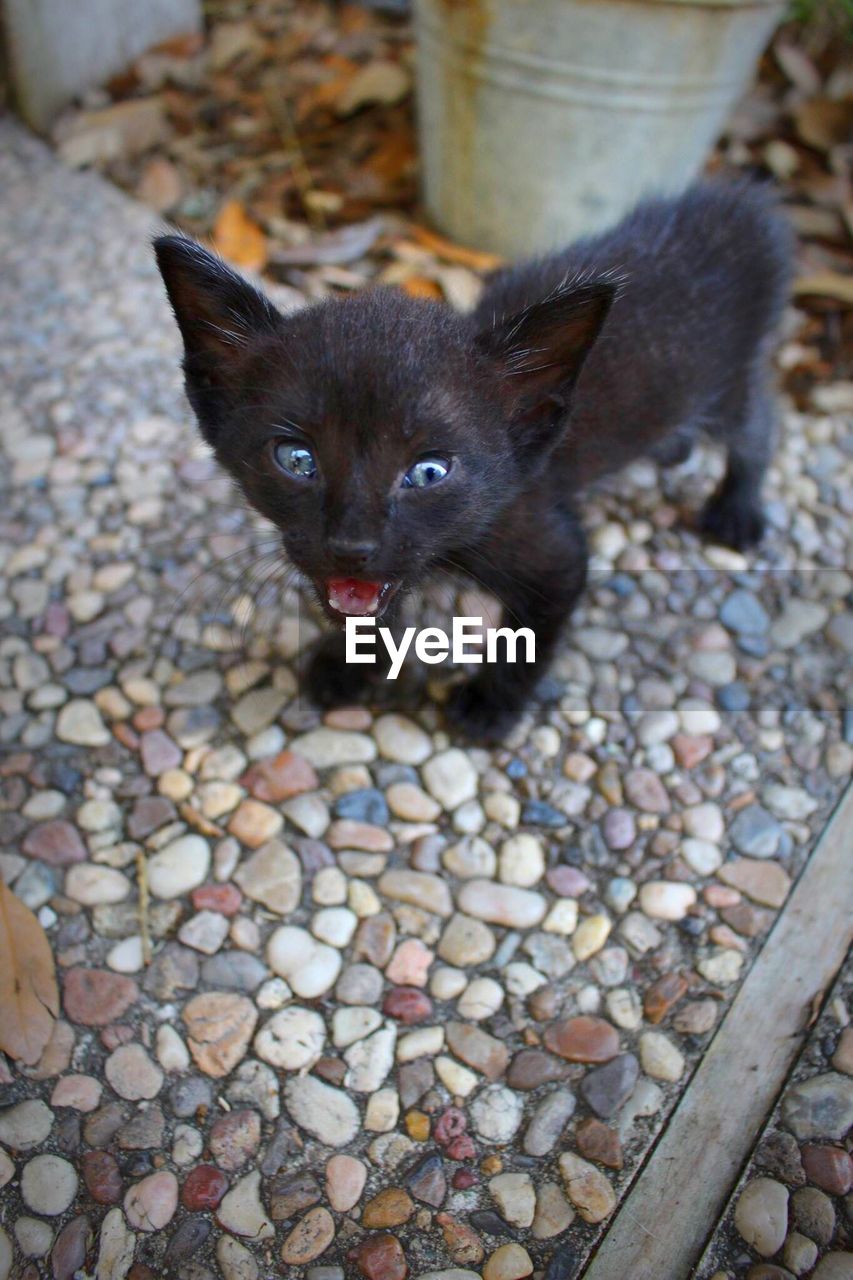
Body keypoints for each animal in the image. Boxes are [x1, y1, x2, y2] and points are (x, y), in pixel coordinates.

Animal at [154, 181, 788, 742]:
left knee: (757, 427)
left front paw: (489, 707)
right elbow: (371, 616)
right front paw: (350, 668)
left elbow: (529, 638)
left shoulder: (549, 549)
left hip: (729, 385)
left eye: (429, 472)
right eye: (297, 459)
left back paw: (738, 509)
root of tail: (743, 209)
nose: (351, 546)